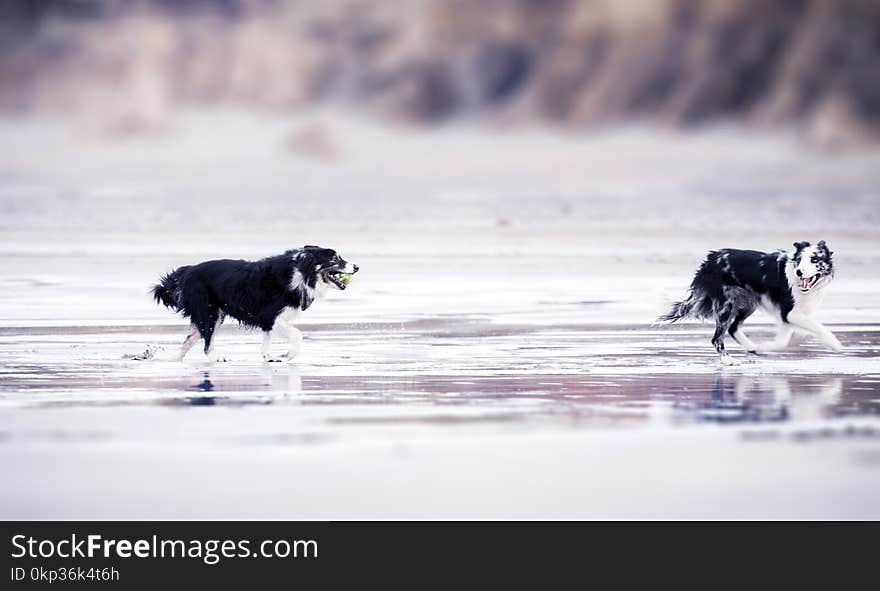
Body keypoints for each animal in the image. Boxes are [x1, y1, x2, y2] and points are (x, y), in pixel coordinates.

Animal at [152, 245, 358, 360]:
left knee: (189, 340)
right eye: (335, 258)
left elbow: (267, 340)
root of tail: (187, 271)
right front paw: (288, 355)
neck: (301, 272)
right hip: (210, 312)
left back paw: (173, 360)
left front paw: (269, 357)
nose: (357, 266)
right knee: (206, 343)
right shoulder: (271, 315)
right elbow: (297, 334)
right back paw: (217, 358)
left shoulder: (268, 321)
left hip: (209, 314)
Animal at [660, 242, 840, 364]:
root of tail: (709, 261)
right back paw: (728, 360)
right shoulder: (789, 313)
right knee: (717, 338)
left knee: (733, 329)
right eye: (800, 260)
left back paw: (751, 347)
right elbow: (818, 328)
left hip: (748, 303)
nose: (799, 272)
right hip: (727, 306)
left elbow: (792, 336)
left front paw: (767, 347)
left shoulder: (792, 316)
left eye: (814, 260)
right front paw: (835, 344)